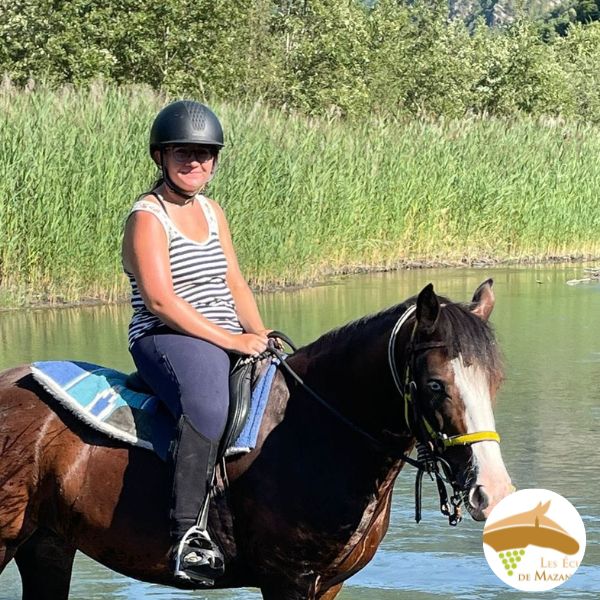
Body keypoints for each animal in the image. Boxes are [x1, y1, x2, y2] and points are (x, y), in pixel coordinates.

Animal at [1, 282, 516, 600]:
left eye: (495, 381)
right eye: (435, 385)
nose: (492, 492)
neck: (315, 430)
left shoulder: (328, 583)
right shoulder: (288, 580)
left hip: (47, 544)